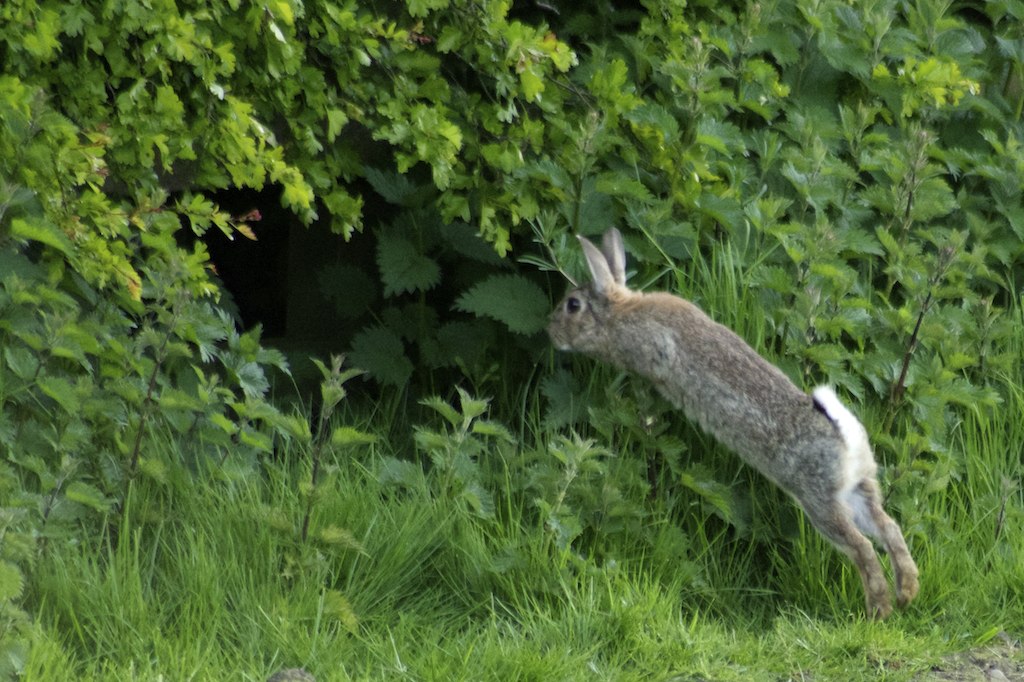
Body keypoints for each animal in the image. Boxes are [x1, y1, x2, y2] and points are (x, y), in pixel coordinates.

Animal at [548, 228, 919, 619]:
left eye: (573, 305)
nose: (550, 331)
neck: (621, 309)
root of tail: (844, 436)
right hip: (858, 488)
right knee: (889, 528)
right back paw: (907, 593)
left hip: (819, 499)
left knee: (863, 547)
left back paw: (878, 610)